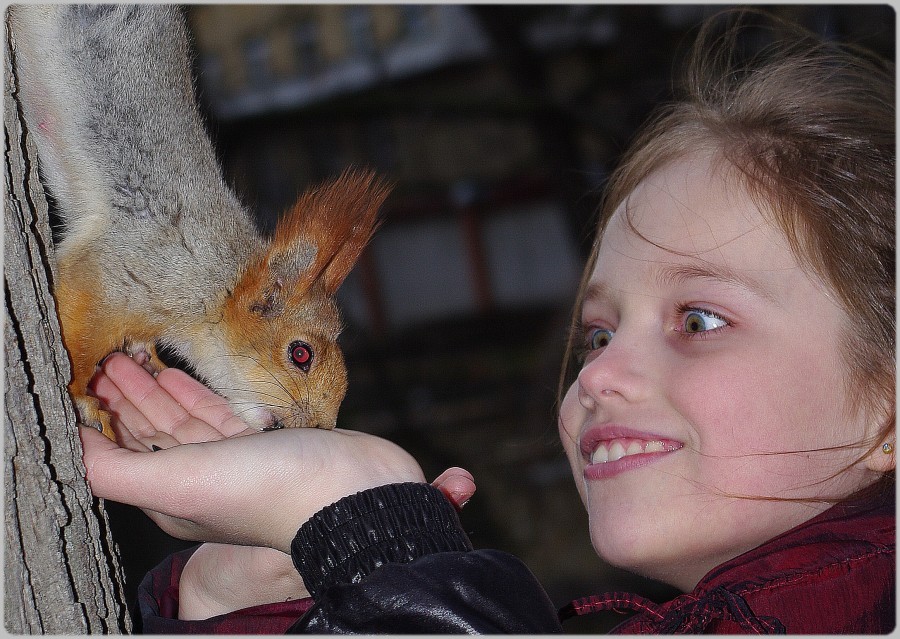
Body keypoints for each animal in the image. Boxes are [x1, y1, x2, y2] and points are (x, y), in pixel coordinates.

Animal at [7, 5, 388, 438]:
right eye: (301, 354)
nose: (321, 426)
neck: (218, 287)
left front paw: (146, 356)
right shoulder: (118, 272)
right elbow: (77, 338)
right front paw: (83, 397)